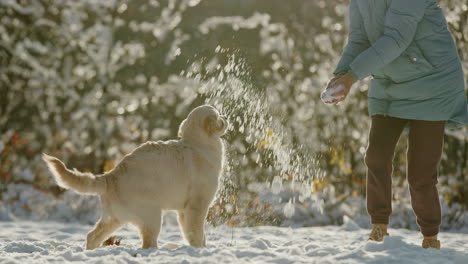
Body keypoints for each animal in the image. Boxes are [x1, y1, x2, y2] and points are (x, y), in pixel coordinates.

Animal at [43, 104, 228, 249]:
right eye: (219, 116)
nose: (225, 117)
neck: (196, 144)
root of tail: (111, 175)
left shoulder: (183, 211)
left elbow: (191, 232)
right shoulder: (196, 206)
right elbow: (196, 232)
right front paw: (199, 249)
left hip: (114, 218)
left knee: (92, 236)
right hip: (152, 216)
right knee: (147, 243)